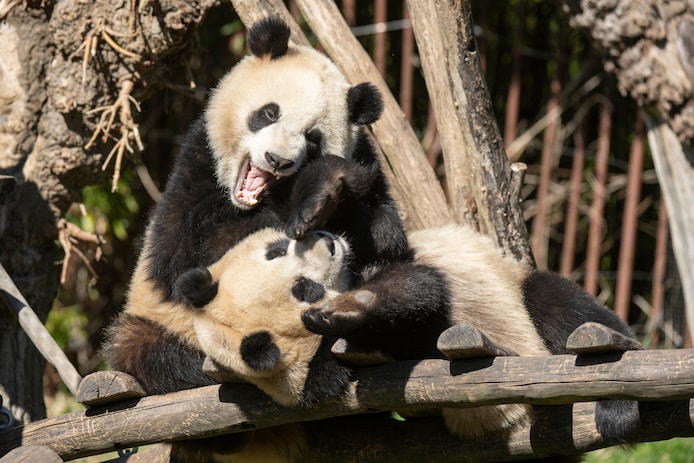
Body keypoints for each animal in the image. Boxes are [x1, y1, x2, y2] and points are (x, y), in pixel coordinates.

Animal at [175, 223, 641, 460]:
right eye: (305, 288)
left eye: (275, 249)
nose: (325, 240)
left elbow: (418, 284)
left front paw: (352, 308)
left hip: (519, 289)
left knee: (564, 308)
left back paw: (616, 403)